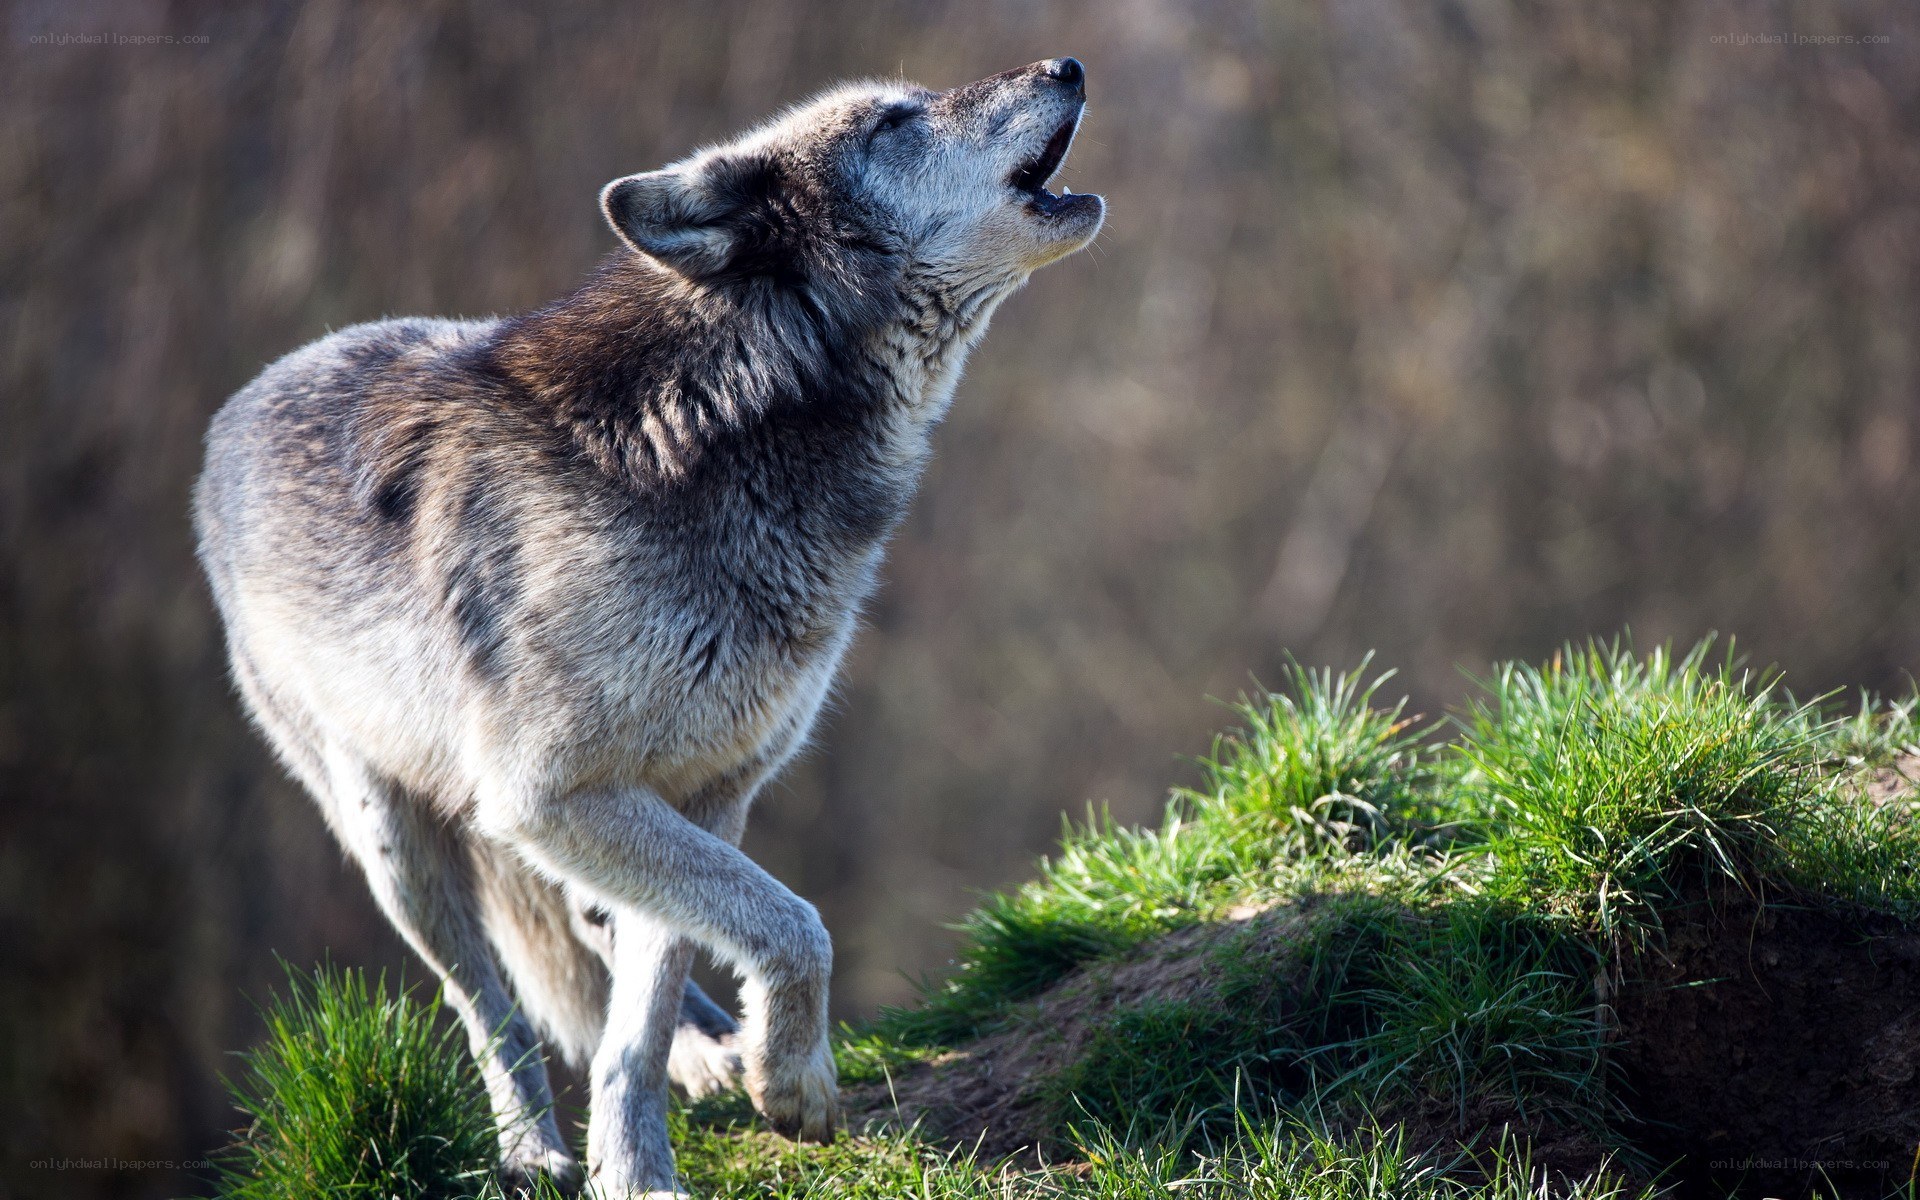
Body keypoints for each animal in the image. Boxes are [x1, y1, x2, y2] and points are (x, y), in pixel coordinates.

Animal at [193, 57, 1100, 1196]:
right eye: (894, 121)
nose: (1066, 65)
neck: (721, 428)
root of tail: (235, 411)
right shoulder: (548, 794)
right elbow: (796, 925)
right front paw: (786, 1086)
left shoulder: (706, 789)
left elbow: (654, 1000)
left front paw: (649, 1155)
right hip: (396, 844)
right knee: (486, 1002)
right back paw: (534, 1149)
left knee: (599, 932)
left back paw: (700, 1057)